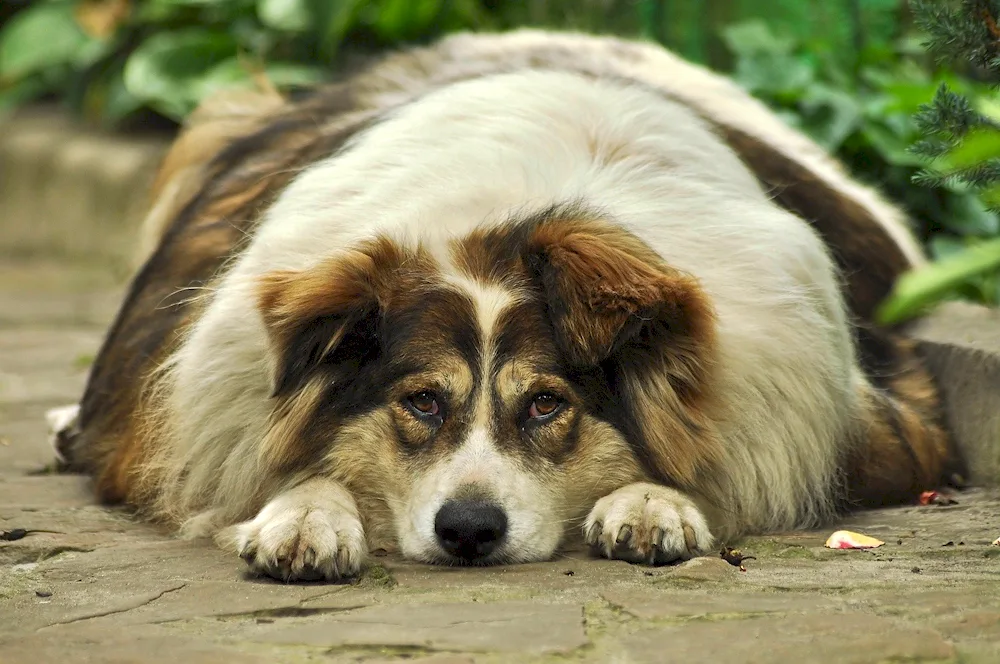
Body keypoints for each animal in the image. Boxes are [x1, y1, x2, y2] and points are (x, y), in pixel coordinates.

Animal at [48, 31, 960, 580]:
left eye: (548, 405)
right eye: (420, 402)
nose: (468, 533)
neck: (512, 218)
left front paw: (655, 501)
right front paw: (305, 515)